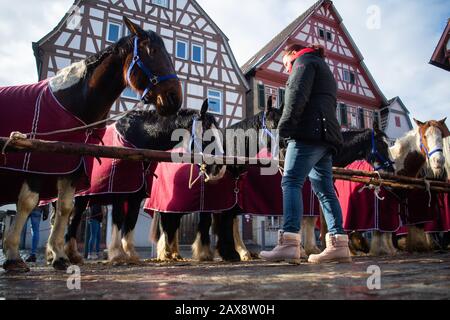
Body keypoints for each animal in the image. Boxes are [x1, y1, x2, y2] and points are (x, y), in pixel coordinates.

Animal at [2, 16, 181, 272]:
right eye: (153, 51)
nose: (176, 97)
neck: (72, 102)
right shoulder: (38, 162)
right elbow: (27, 203)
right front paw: (13, 255)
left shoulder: (74, 170)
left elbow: (68, 208)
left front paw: (60, 256)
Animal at [64, 100, 224, 264]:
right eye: (208, 136)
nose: (219, 169)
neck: (136, 141)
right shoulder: (119, 192)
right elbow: (118, 219)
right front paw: (117, 254)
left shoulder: (136, 197)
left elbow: (131, 222)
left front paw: (130, 254)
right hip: (80, 198)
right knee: (73, 219)